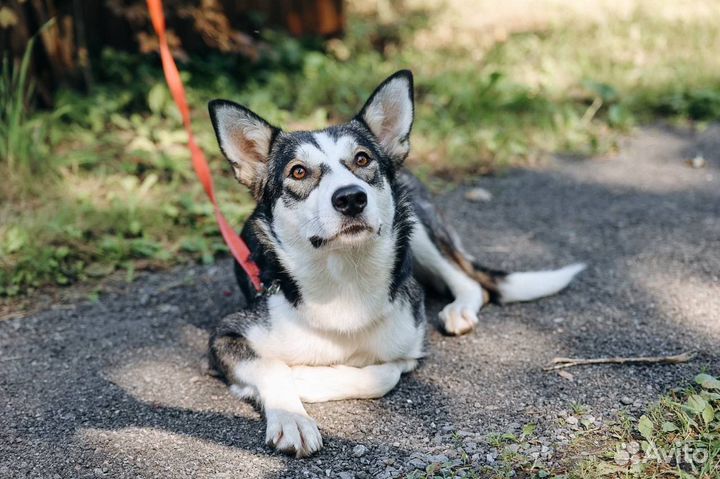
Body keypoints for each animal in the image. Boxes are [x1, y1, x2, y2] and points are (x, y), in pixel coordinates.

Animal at [204, 70, 584, 458]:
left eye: (361, 160)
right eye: (298, 172)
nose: (351, 198)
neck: (345, 279)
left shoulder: (409, 346)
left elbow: (383, 374)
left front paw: (306, 379)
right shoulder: (226, 334)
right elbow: (271, 366)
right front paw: (291, 418)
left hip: (416, 224)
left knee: (470, 281)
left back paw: (459, 310)